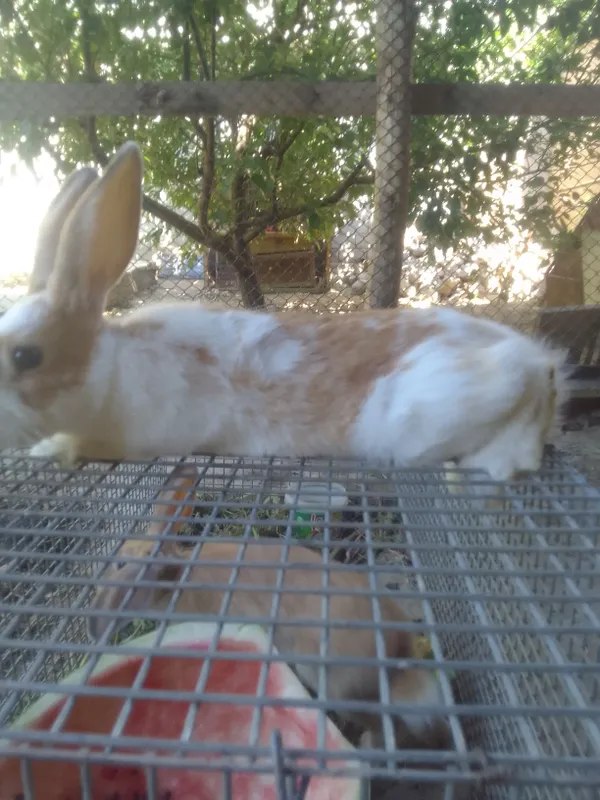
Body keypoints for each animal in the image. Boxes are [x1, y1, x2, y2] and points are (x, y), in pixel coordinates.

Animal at [0, 140, 566, 482]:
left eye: (28, 356)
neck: (107, 369)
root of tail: (535, 359)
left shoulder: (143, 435)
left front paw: (54, 451)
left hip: (436, 409)